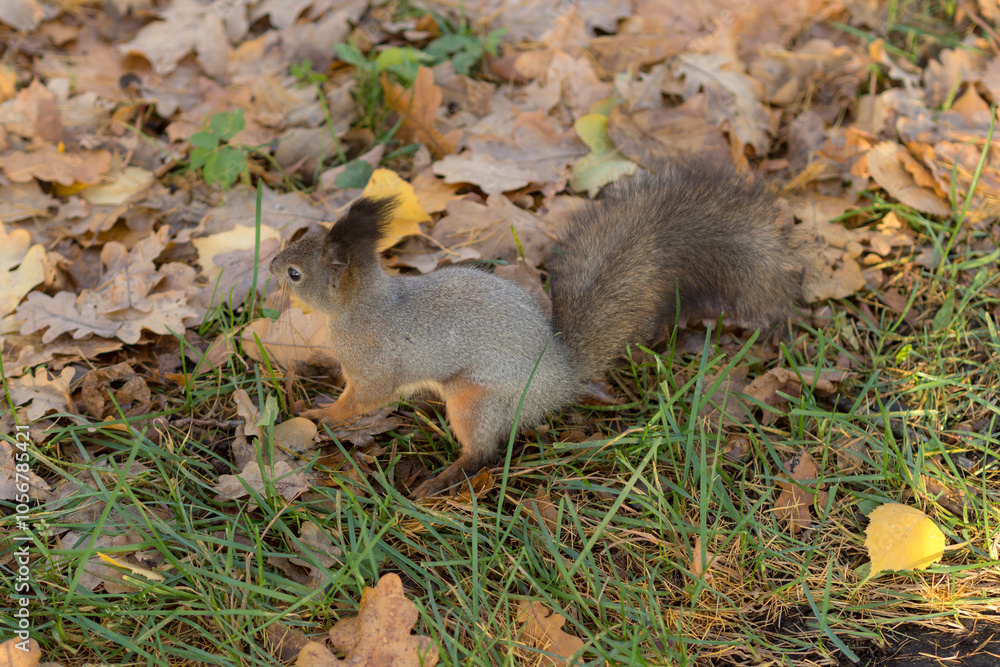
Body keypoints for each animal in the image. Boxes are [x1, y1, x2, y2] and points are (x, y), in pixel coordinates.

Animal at [270, 159, 808, 498]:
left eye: (296, 274)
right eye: (302, 234)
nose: (272, 265)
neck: (363, 306)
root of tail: (561, 377)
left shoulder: (375, 364)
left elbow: (362, 399)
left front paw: (322, 414)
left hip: (474, 400)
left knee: (482, 451)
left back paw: (439, 480)